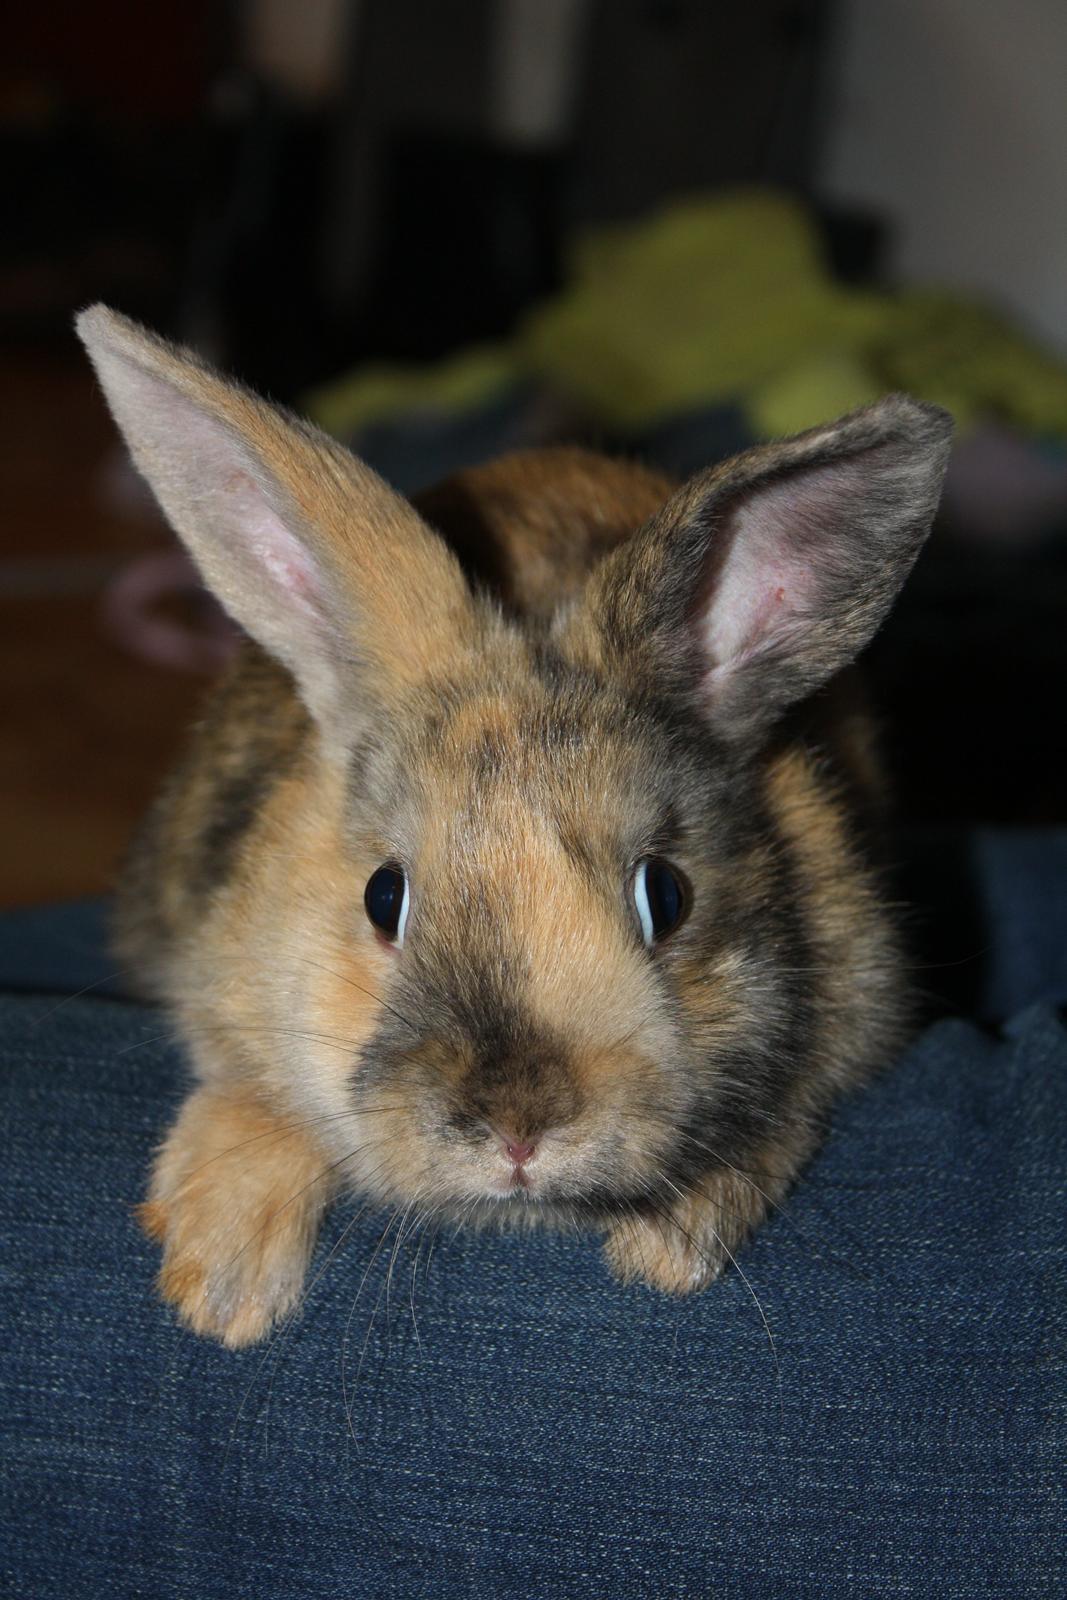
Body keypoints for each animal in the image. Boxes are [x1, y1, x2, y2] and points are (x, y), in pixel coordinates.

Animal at [76, 305, 953, 1347]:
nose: (519, 1132)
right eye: (383, 896)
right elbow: (252, 1097)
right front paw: (222, 1284)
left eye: (666, 894)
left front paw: (671, 1246)